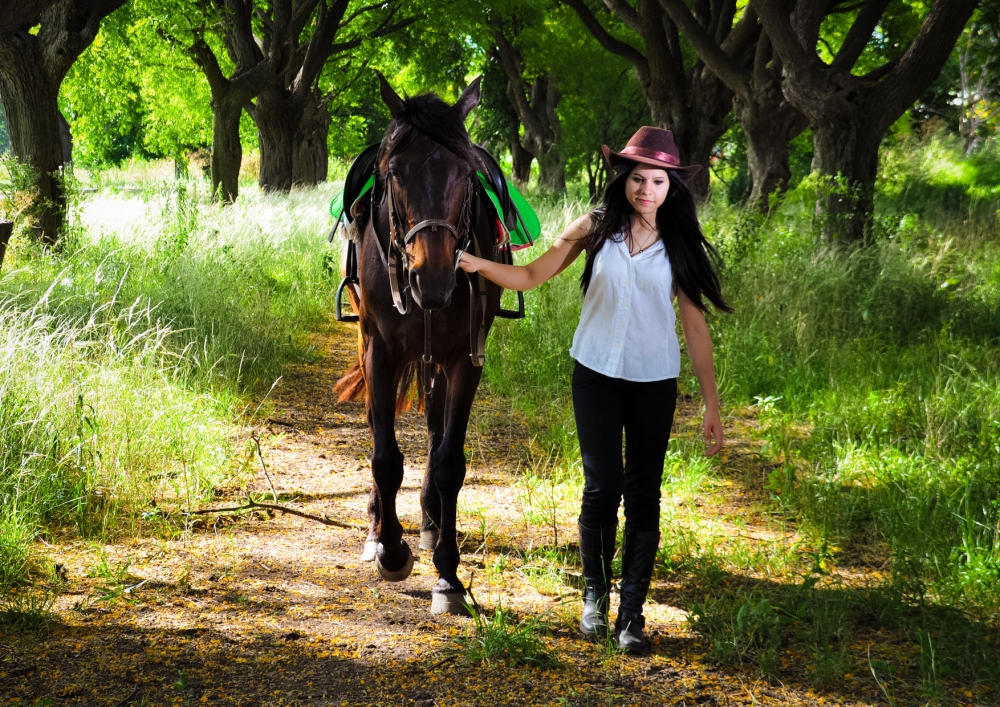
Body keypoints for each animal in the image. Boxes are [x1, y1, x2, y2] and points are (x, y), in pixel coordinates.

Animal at [336, 73, 504, 612]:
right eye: (394, 172)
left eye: (467, 172)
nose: (432, 277)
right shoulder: (380, 352)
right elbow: (384, 455)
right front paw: (391, 550)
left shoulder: (466, 358)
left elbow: (450, 459)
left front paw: (448, 575)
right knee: (379, 428)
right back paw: (376, 529)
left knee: (433, 428)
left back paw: (430, 523)